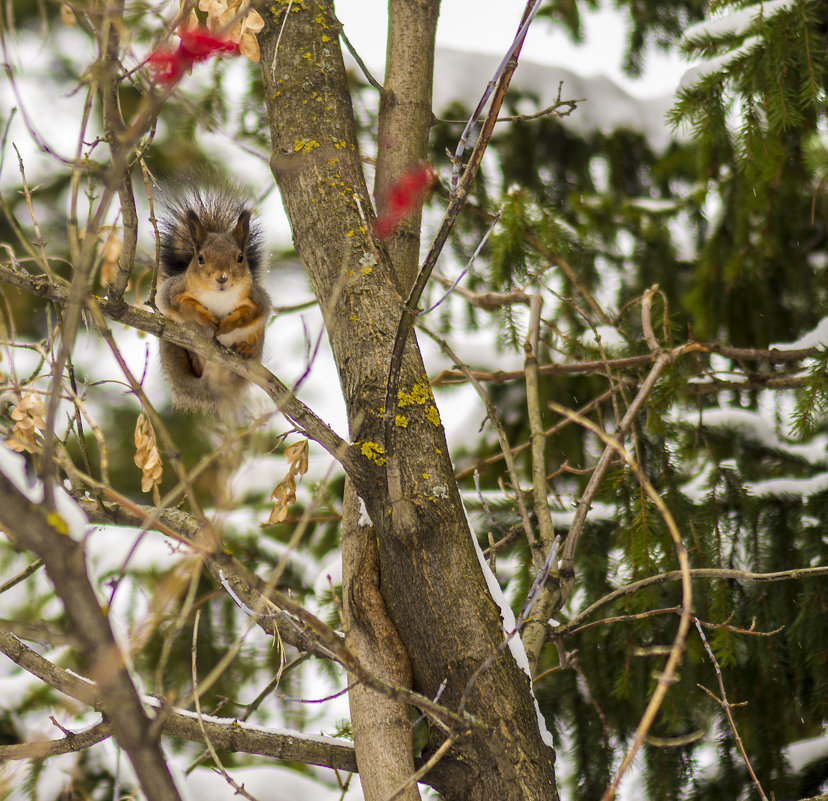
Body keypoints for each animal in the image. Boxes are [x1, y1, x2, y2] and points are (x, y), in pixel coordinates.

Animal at [155, 180, 272, 412]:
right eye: (200, 258)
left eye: (240, 257)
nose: (222, 278)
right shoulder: (173, 289)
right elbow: (178, 303)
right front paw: (204, 317)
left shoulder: (257, 298)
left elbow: (252, 312)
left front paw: (229, 322)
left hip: (258, 339)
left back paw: (244, 349)